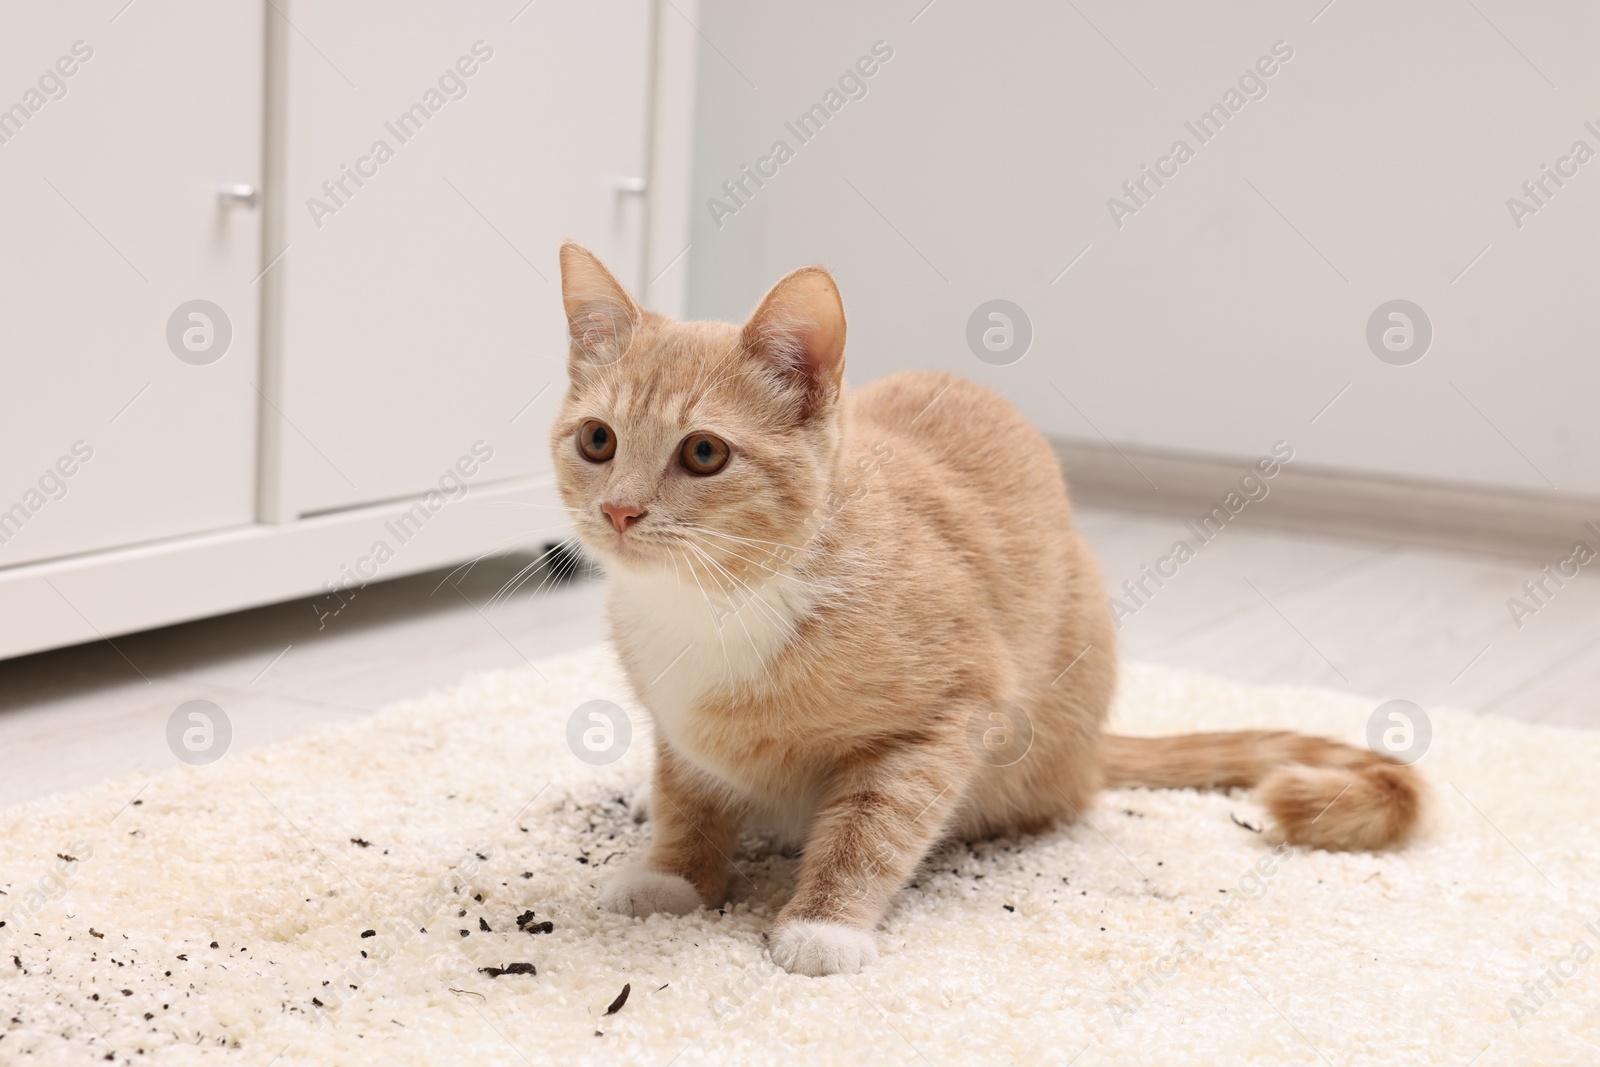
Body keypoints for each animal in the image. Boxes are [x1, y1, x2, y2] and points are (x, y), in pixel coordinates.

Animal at [553, 241, 1427, 979]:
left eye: (704, 452)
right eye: (597, 440)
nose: (620, 510)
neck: (711, 602)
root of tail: (1090, 750)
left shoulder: (954, 705)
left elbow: (875, 823)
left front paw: (825, 922)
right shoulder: (678, 724)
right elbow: (690, 792)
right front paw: (673, 870)